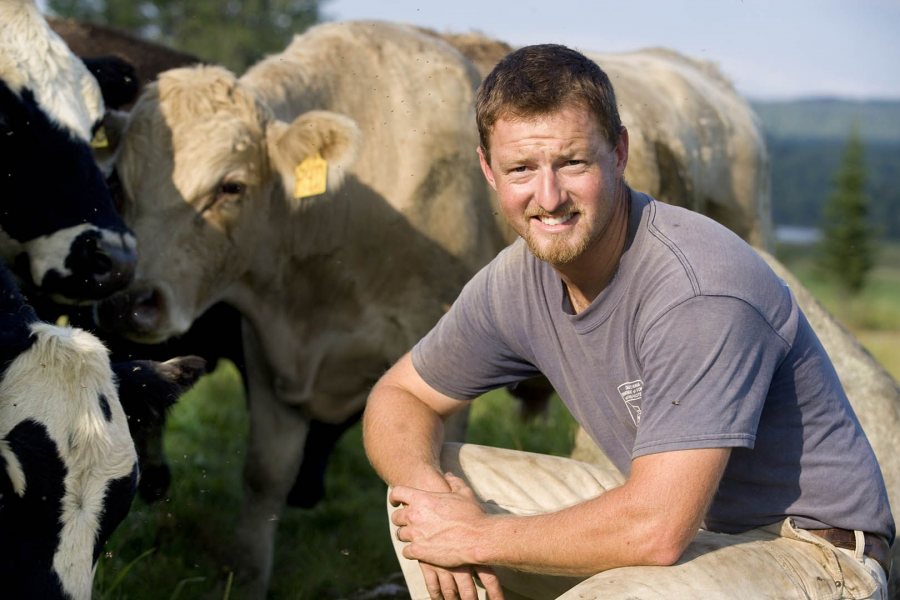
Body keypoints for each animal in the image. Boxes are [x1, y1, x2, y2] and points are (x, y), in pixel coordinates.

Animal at [98, 19, 768, 596]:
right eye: (120, 187)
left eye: (231, 186)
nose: (131, 302)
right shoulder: (268, 351)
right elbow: (266, 476)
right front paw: (247, 580)